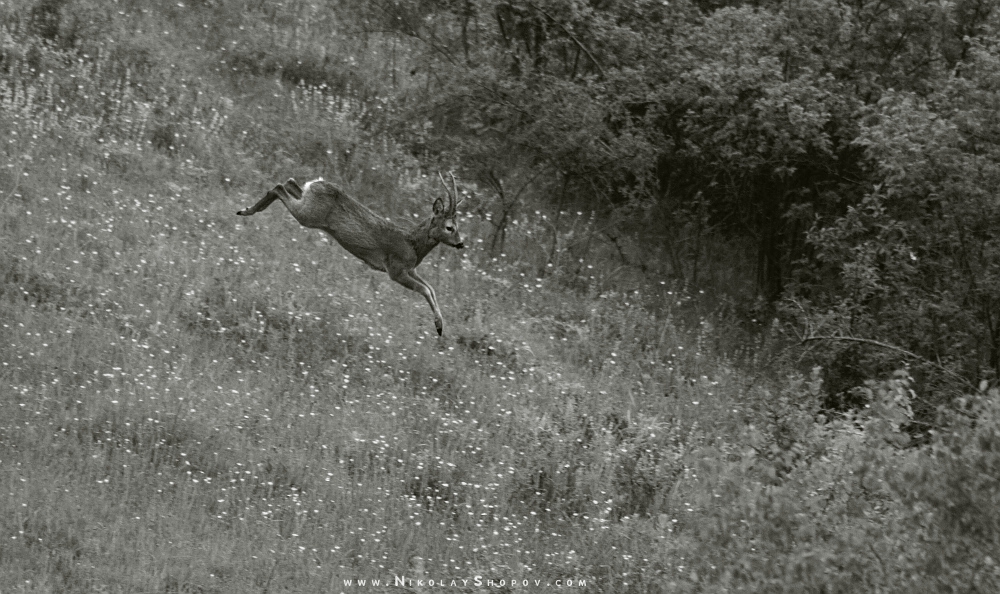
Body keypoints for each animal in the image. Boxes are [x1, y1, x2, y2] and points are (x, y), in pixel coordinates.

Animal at [237, 173, 464, 336]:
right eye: (450, 227)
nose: (461, 243)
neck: (412, 244)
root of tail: (316, 183)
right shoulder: (396, 269)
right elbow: (425, 290)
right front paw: (438, 326)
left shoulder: (410, 269)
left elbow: (431, 289)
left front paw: (440, 325)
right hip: (309, 215)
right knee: (278, 187)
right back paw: (247, 210)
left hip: (307, 204)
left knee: (290, 183)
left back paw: (247, 209)